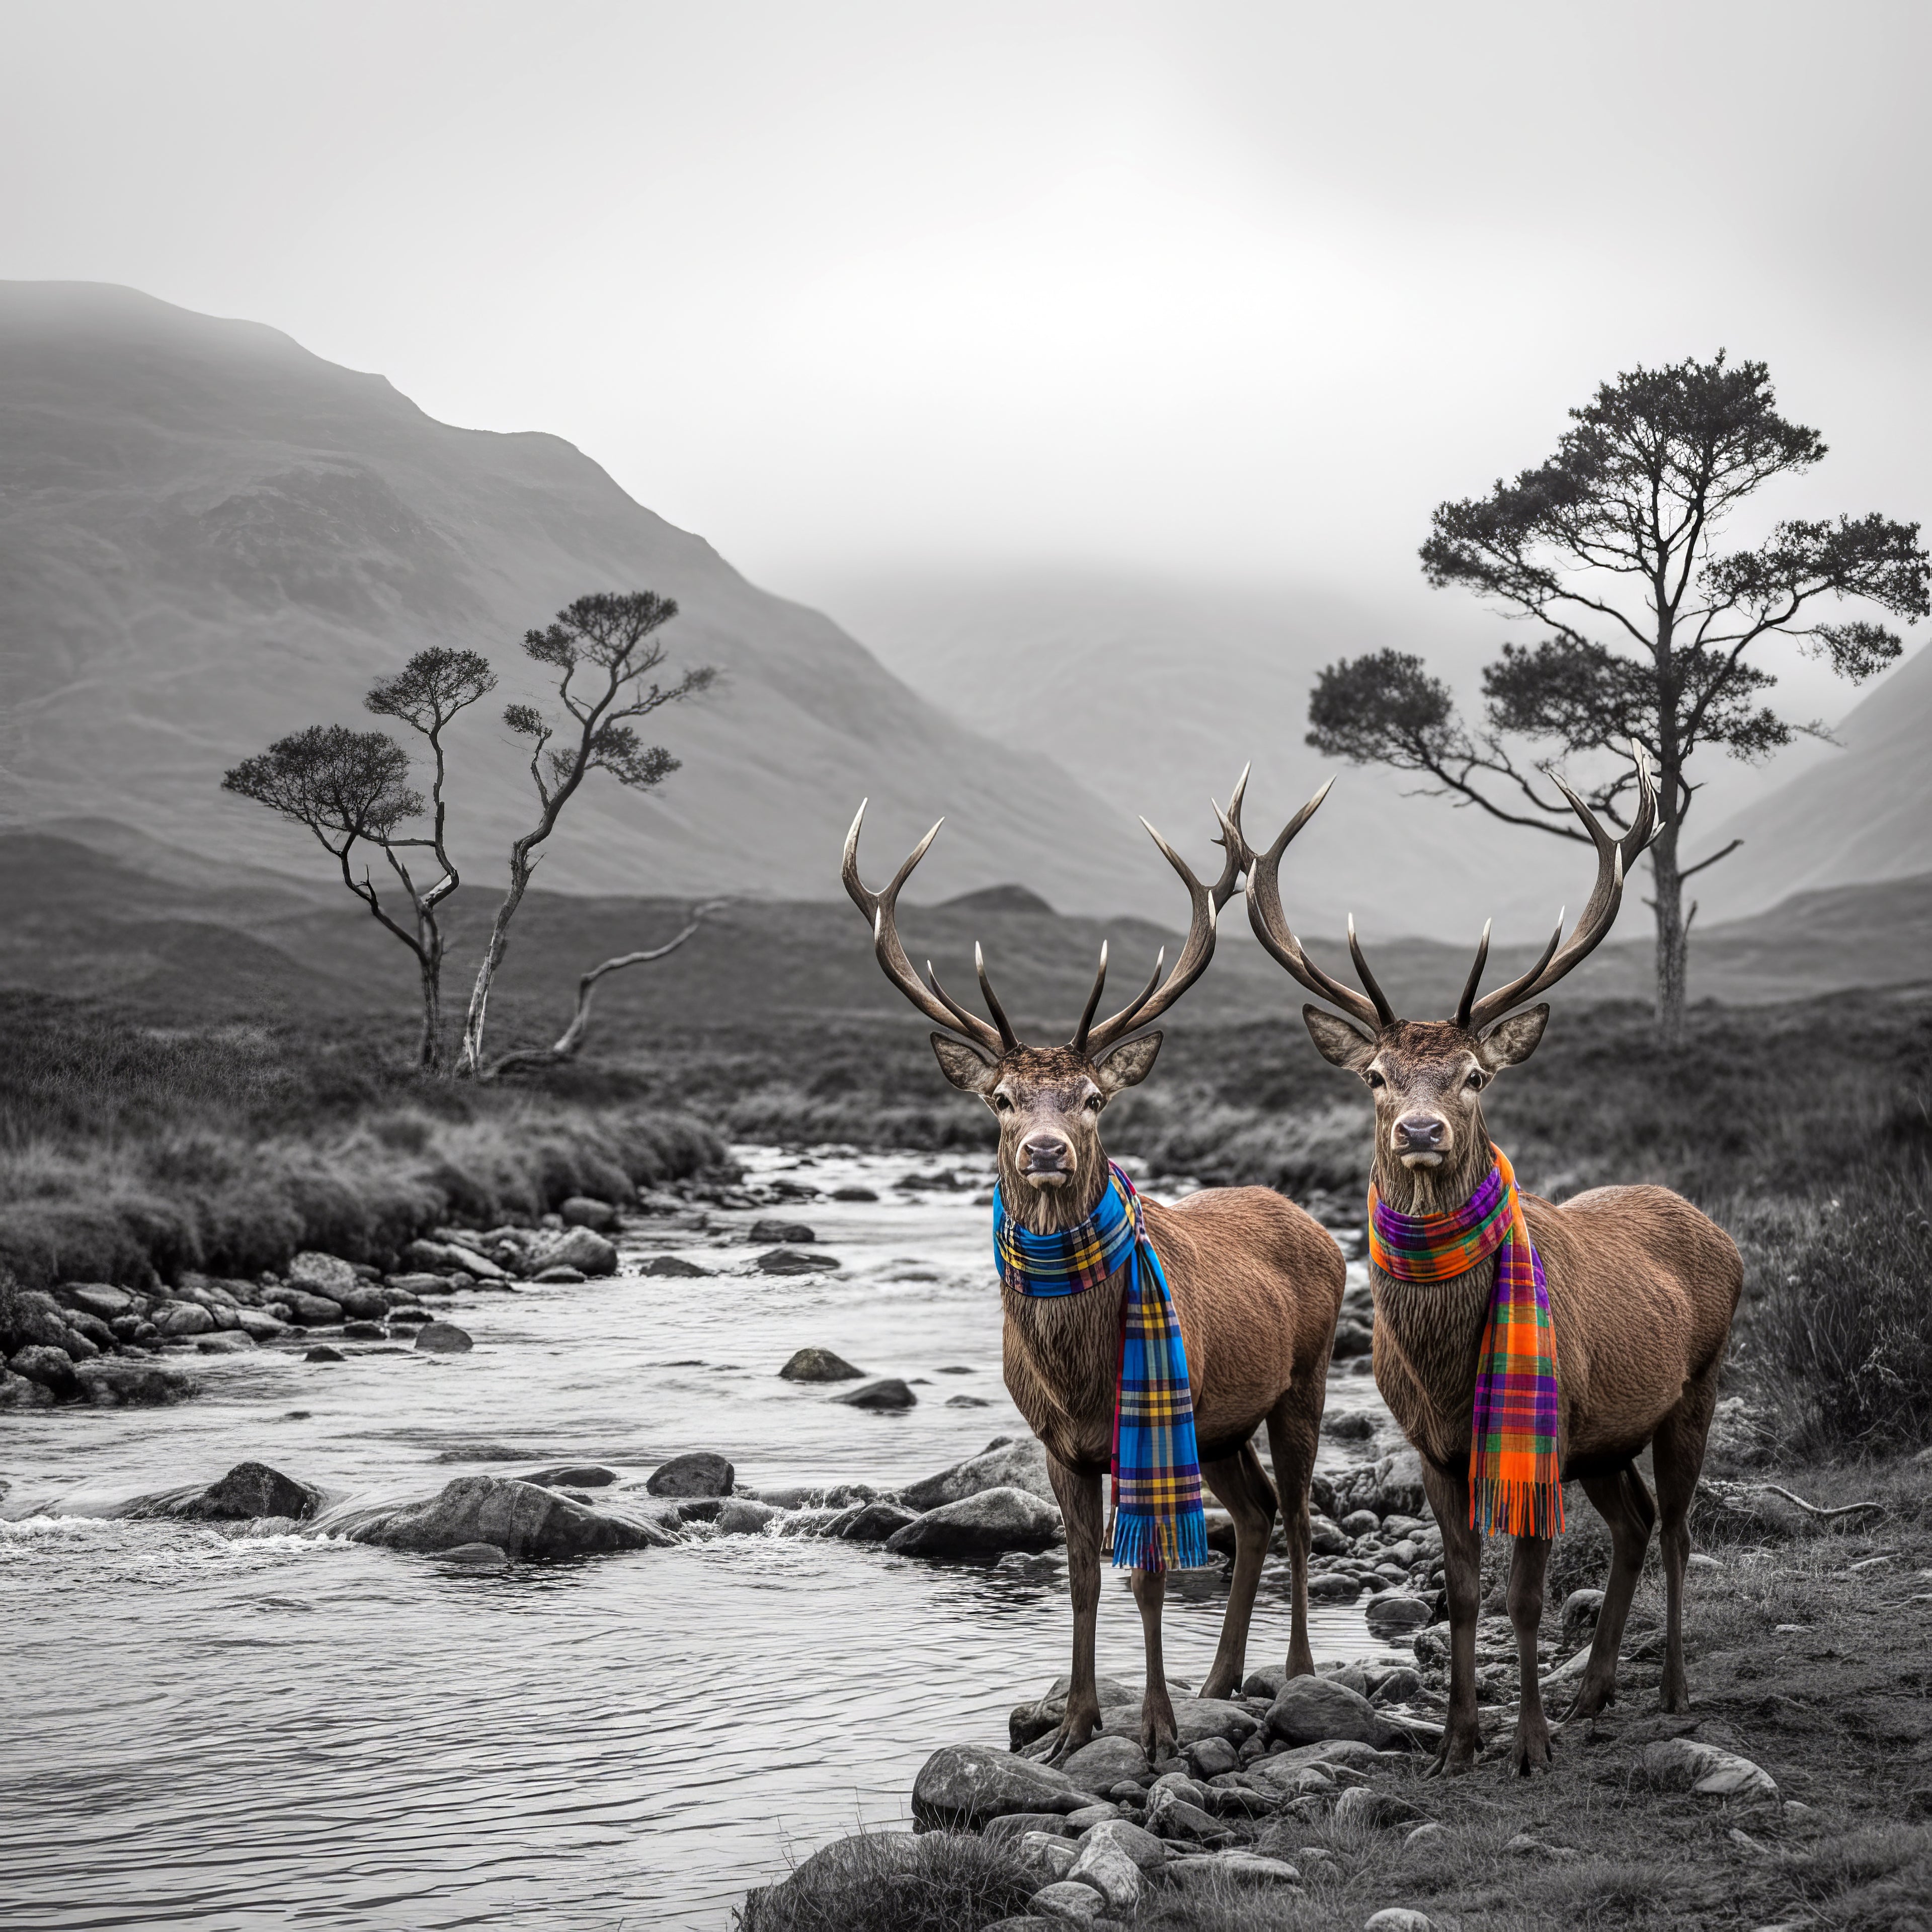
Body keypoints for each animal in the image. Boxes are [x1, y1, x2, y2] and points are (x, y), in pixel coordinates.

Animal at [843, 780, 1345, 1766]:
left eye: (1092, 1098)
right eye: (1002, 1099)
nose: (1045, 1149)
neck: (1075, 1373)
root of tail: (1322, 1228)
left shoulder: (1141, 1427)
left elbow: (1147, 1574)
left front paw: (1153, 1729)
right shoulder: (1057, 1442)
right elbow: (1079, 1574)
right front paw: (1075, 1724)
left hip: (1299, 1381)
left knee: (1302, 1514)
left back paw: (1297, 1674)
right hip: (1218, 1424)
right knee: (1258, 1512)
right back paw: (1220, 1679)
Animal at [1229, 746, 1741, 1776]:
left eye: (1473, 1076)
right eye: (1377, 1076)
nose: (1422, 1130)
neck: (1445, 1367)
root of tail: (1725, 1235)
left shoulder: (1534, 1440)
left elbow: (1526, 1597)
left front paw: (1530, 1745)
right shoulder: (1435, 1446)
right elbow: (1466, 1593)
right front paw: (1460, 1741)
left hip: (1692, 1388)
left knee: (1677, 1529)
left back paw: (1669, 1690)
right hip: (1603, 1434)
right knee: (1633, 1525)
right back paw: (1595, 1691)